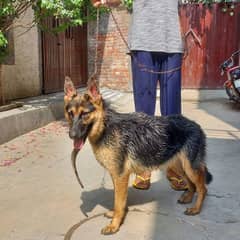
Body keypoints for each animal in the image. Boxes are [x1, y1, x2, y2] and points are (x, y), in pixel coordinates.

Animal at [63, 76, 212, 234]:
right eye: (70, 114)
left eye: (85, 114)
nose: (72, 135)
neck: (105, 127)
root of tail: (196, 125)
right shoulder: (116, 175)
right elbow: (118, 200)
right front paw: (116, 215)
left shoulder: (120, 176)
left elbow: (118, 202)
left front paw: (114, 225)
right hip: (179, 166)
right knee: (192, 185)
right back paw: (188, 198)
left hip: (190, 168)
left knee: (203, 188)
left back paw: (196, 209)